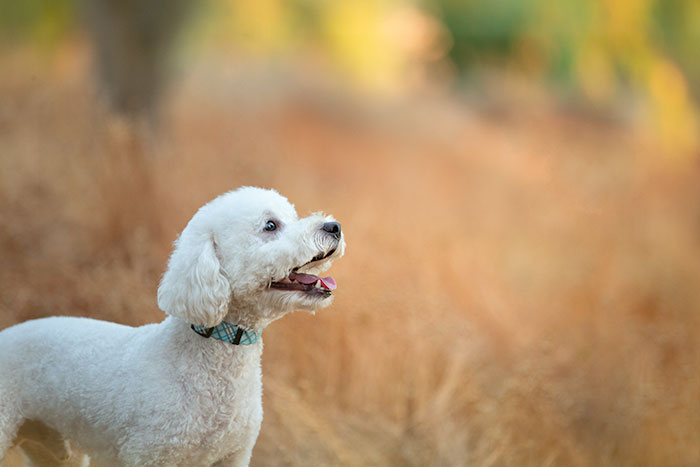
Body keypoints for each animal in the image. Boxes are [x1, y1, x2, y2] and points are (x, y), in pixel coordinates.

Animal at [0, 187, 344, 467]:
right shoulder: (151, 454)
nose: (334, 227)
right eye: (270, 226)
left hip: (56, 450)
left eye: (292, 216)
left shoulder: (233, 455)